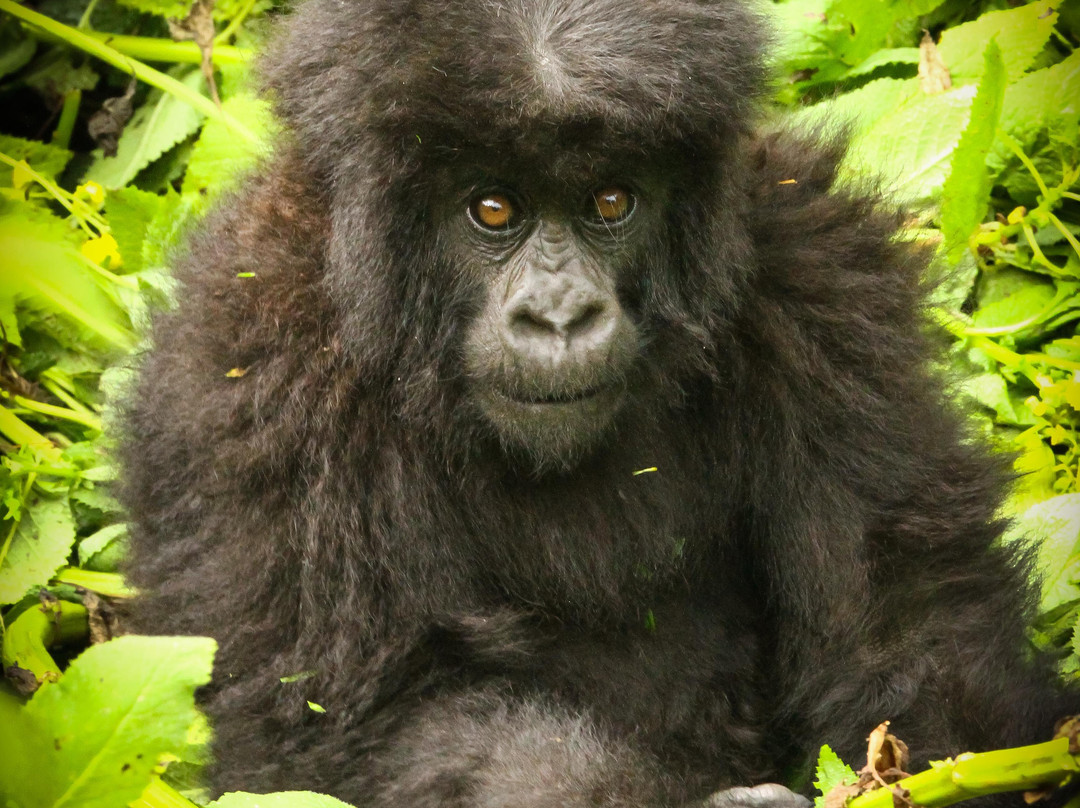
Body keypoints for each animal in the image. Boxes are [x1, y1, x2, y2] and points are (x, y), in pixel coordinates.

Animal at [120, 0, 1073, 805]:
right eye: (492, 208)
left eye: (611, 201)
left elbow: (907, 627)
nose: (560, 314)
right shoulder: (253, 360)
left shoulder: (822, 272)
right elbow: (347, 726)